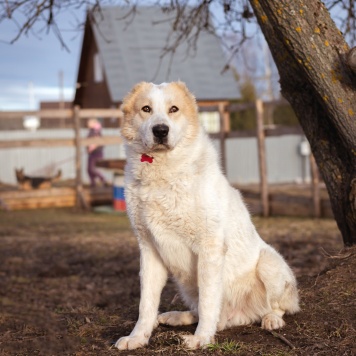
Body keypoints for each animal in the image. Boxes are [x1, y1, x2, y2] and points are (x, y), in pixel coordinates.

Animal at [115, 81, 298, 350]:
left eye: (173, 109)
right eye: (146, 109)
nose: (161, 130)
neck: (163, 173)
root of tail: (239, 316)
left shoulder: (209, 248)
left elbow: (209, 299)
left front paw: (201, 339)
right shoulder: (149, 250)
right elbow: (146, 304)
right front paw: (138, 337)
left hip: (268, 263)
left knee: (280, 306)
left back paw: (272, 319)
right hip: (184, 282)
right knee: (202, 312)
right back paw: (177, 317)